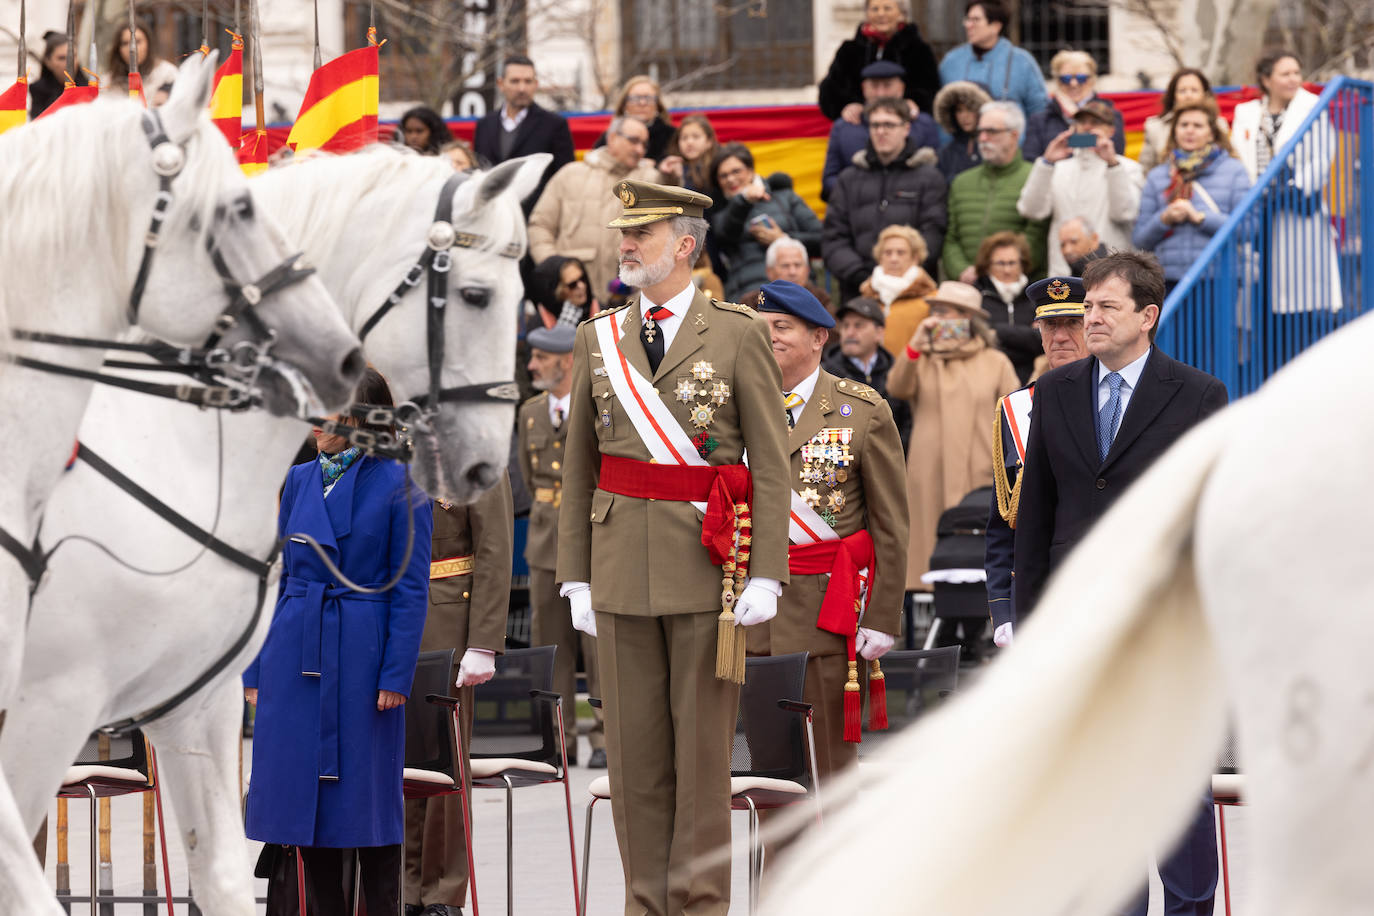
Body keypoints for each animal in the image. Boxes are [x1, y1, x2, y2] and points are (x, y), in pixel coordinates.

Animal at [1, 146, 546, 911]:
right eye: (475, 296)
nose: (486, 466)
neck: (178, 442)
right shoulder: (51, 701)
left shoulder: (197, 700)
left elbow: (225, 876)